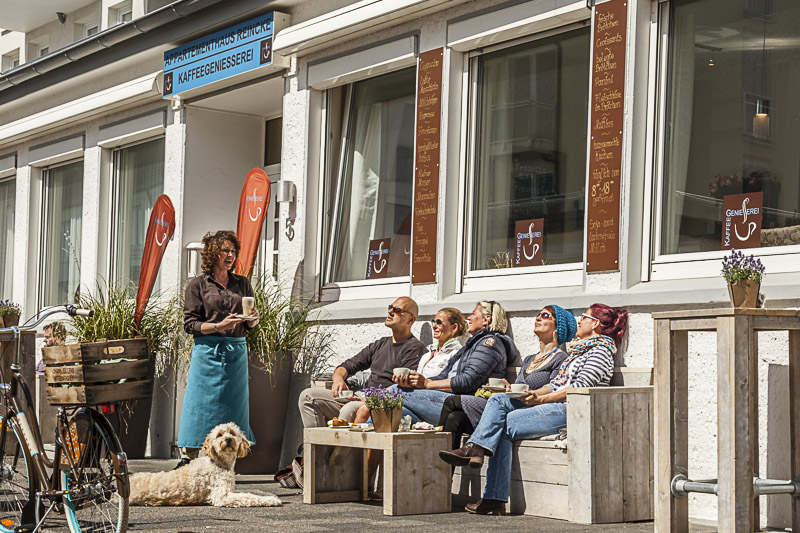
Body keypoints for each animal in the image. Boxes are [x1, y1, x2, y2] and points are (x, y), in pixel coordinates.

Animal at [128, 422, 282, 504]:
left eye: (232, 433)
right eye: (219, 435)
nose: (228, 439)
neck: (219, 464)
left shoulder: (230, 490)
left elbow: (253, 491)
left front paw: (269, 494)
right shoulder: (222, 496)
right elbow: (249, 497)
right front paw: (271, 500)